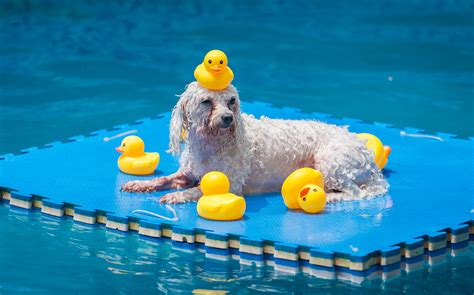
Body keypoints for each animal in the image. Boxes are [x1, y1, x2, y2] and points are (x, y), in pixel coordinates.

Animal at [123, 82, 388, 205]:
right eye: (206, 101)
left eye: (231, 101)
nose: (228, 118)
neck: (210, 142)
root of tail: (369, 159)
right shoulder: (187, 174)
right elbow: (164, 179)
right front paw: (139, 184)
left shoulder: (230, 185)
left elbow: (197, 190)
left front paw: (176, 196)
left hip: (331, 163)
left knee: (355, 193)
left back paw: (330, 197)